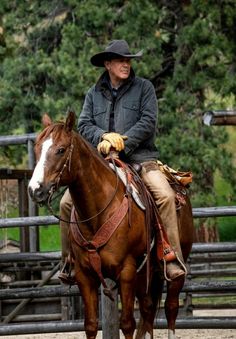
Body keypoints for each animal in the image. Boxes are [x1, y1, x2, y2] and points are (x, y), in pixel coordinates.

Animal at [28, 110, 194, 338]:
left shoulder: (126, 272)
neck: (98, 212)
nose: (35, 190)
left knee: (170, 307)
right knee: (148, 310)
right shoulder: (85, 276)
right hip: (146, 274)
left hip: (174, 265)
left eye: (60, 150)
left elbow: (127, 324)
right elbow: (90, 324)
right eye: (37, 148)